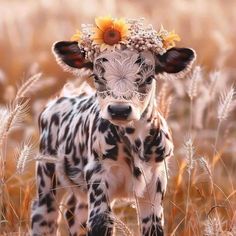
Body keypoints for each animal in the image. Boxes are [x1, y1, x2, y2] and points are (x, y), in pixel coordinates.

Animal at [30, 17, 195, 235]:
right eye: (96, 76)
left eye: (149, 78)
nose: (119, 109)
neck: (135, 142)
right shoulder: (98, 178)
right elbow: (100, 224)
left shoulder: (156, 182)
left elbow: (154, 227)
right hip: (47, 178)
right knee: (44, 215)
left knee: (74, 213)